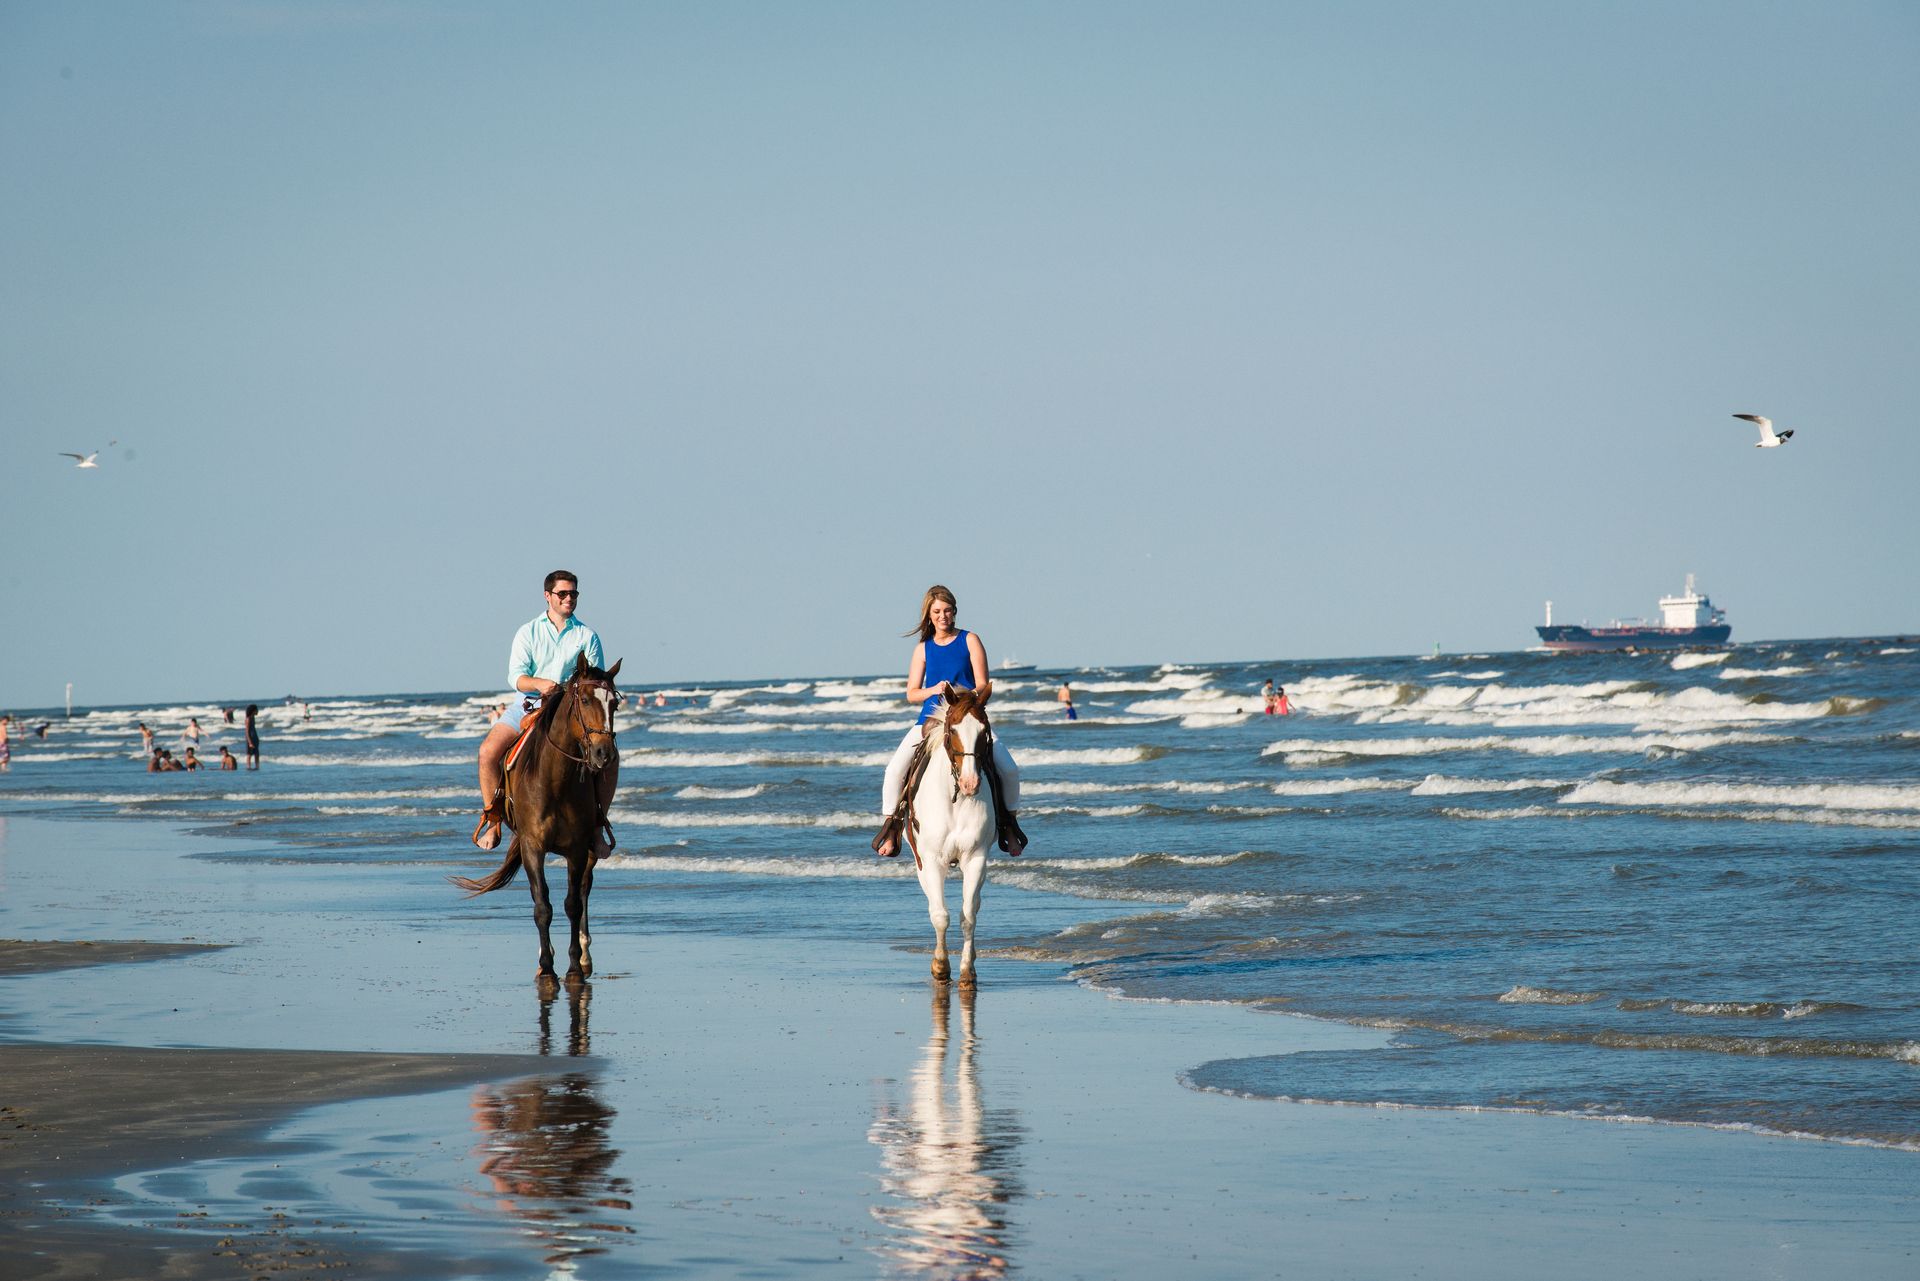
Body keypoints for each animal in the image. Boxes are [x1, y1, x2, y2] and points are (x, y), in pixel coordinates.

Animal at [453, 654, 622, 986]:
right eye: (584, 699)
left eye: (614, 705)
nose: (604, 754)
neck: (555, 781)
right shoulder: (532, 847)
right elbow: (542, 905)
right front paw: (546, 967)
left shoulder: (577, 849)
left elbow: (572, 904)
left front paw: (573, 967)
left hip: (590, 850)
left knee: (585, 890)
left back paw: (585, 956)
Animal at [903, 686, 998, 986]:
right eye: (952, 730)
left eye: (984, 730)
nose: (970, 783)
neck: (956, 799)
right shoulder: (932, 860)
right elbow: (940, 915)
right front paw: (941, 967)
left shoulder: (976, 858)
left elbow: (968, 915)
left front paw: (967, 971)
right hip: (921, 863)